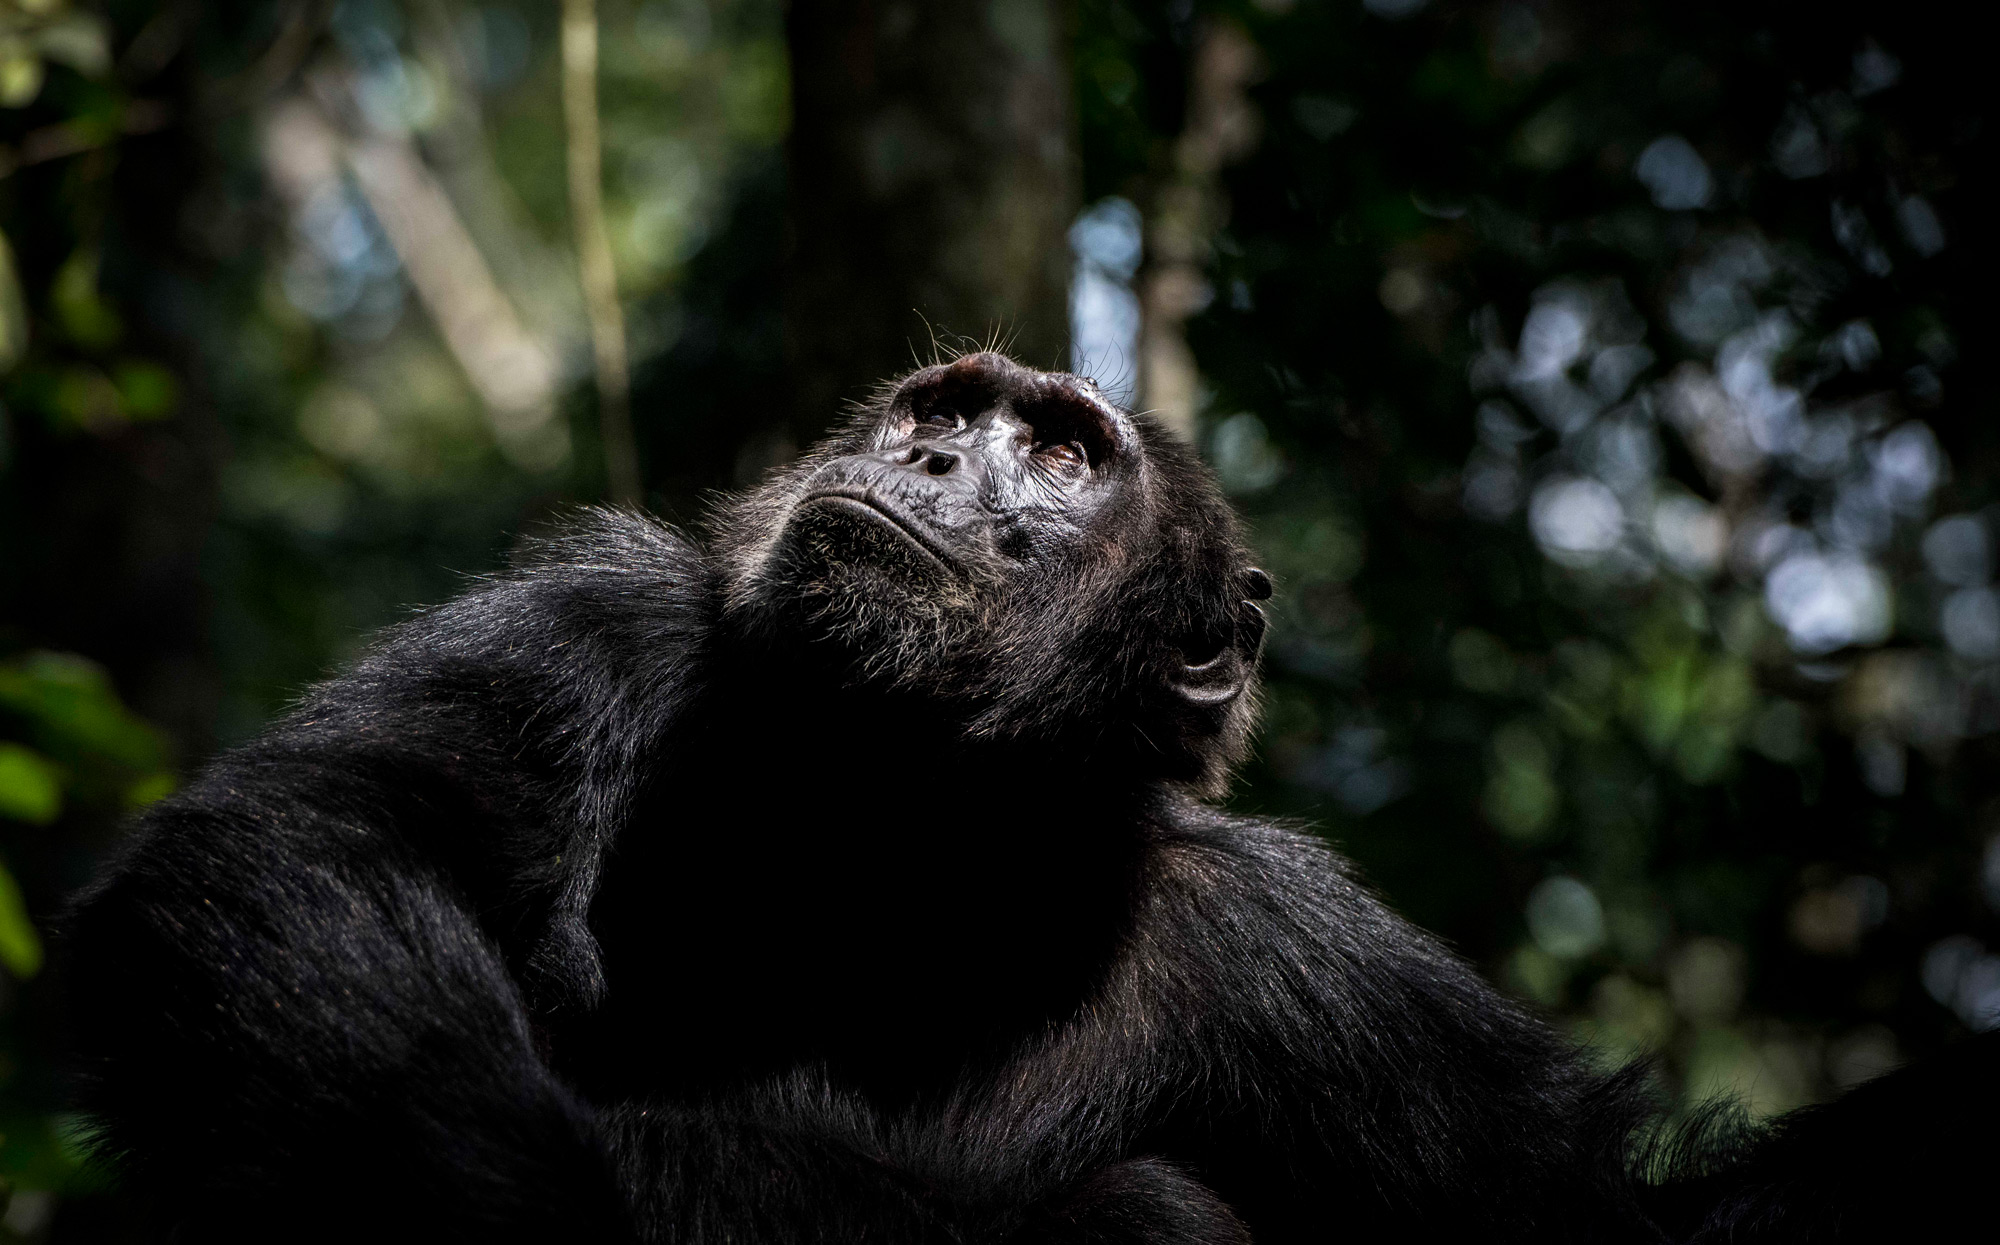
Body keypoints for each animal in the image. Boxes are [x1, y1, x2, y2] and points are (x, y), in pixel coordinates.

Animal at [62, 354, 2000, 1245]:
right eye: (940, 409)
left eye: (1060, 452)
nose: (925, 451)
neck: (919, 811)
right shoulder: (589, 625)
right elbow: (325, 844)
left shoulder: (1304, 952)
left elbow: (1581, 1216)